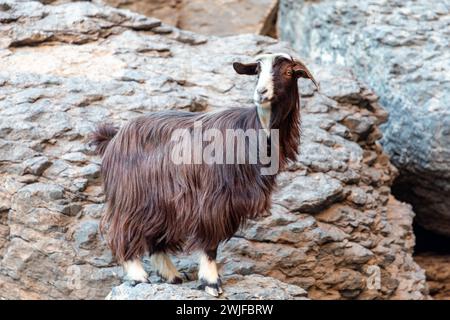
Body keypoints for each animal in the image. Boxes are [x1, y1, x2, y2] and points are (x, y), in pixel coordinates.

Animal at [90, 52, 316, 296]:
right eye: (257, 71)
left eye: (288, 72)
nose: (261, 92)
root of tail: (114, 138)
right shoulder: (212, 199)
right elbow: (210, 243)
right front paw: (210, 282)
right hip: (132, 196)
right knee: (124, 229)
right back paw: (138, 276)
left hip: (160, 201)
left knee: (154, 236)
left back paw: (172, 276)